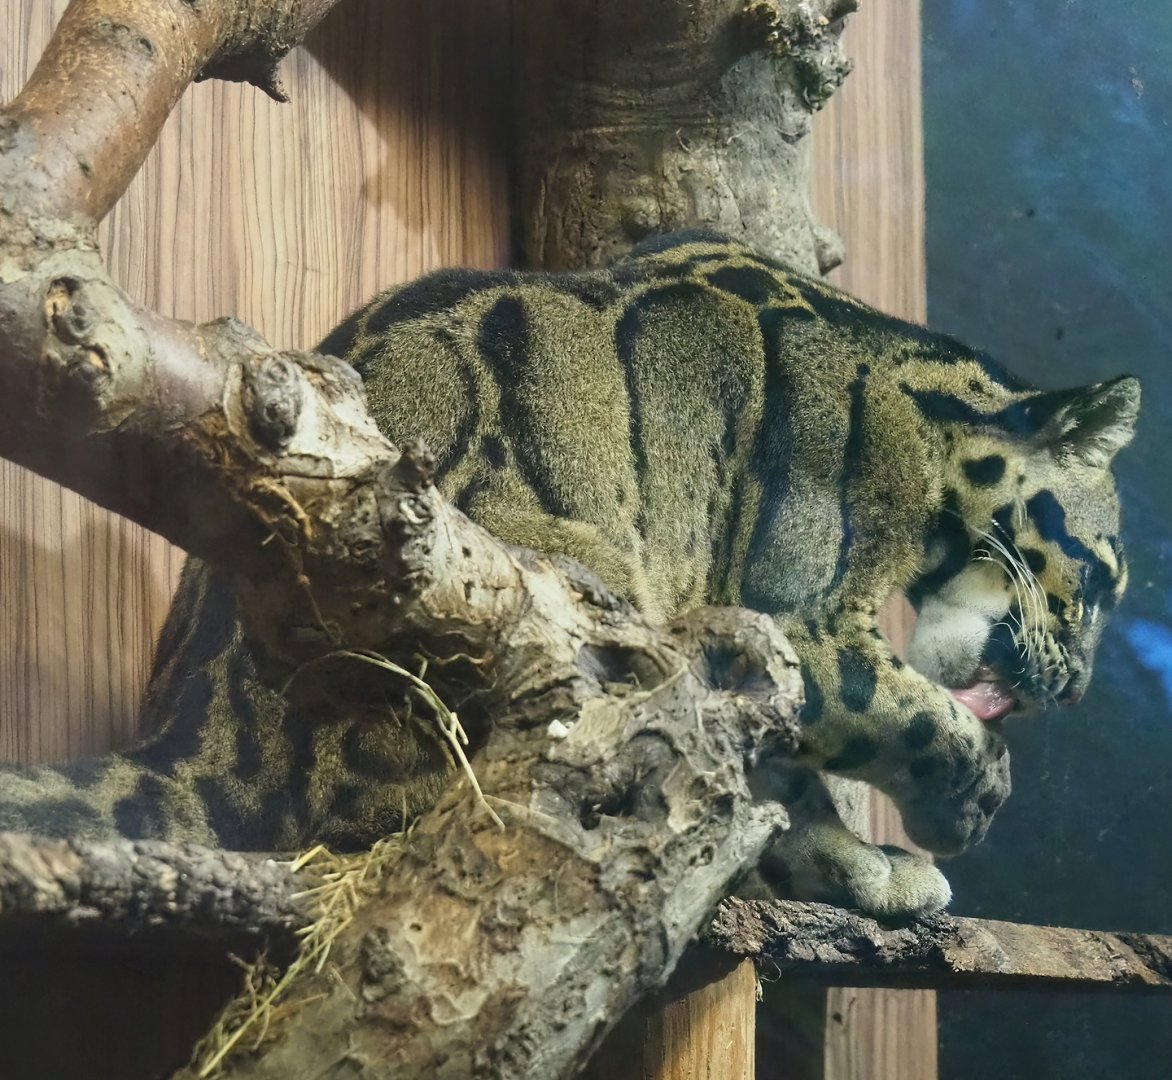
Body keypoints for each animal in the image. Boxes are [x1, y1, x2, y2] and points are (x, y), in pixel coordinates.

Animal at [0, 231, 1140, 918]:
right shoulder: (798, 625)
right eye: (1102, 585)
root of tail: (188, 755)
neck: (918, 414)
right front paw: (958, 804)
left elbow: (793, 770)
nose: (1080, 686)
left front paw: (855, 861)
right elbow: (903, 715)